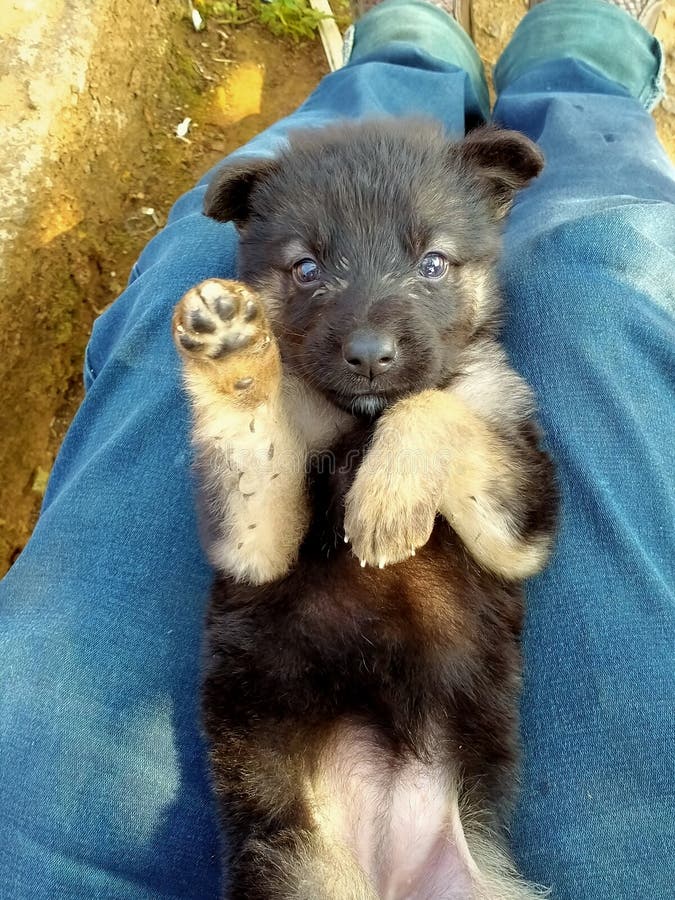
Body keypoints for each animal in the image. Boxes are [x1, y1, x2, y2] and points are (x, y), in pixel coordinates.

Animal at [172, 121, 556, 900]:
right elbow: (259, 431)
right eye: (306, 269)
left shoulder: (522, 521)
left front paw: (386, 495)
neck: (358, 421)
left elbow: (435, 403)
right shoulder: (257, 548)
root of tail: (385, 870)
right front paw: (233, 361)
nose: (370, 356)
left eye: (433, 263)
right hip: (290, 866)